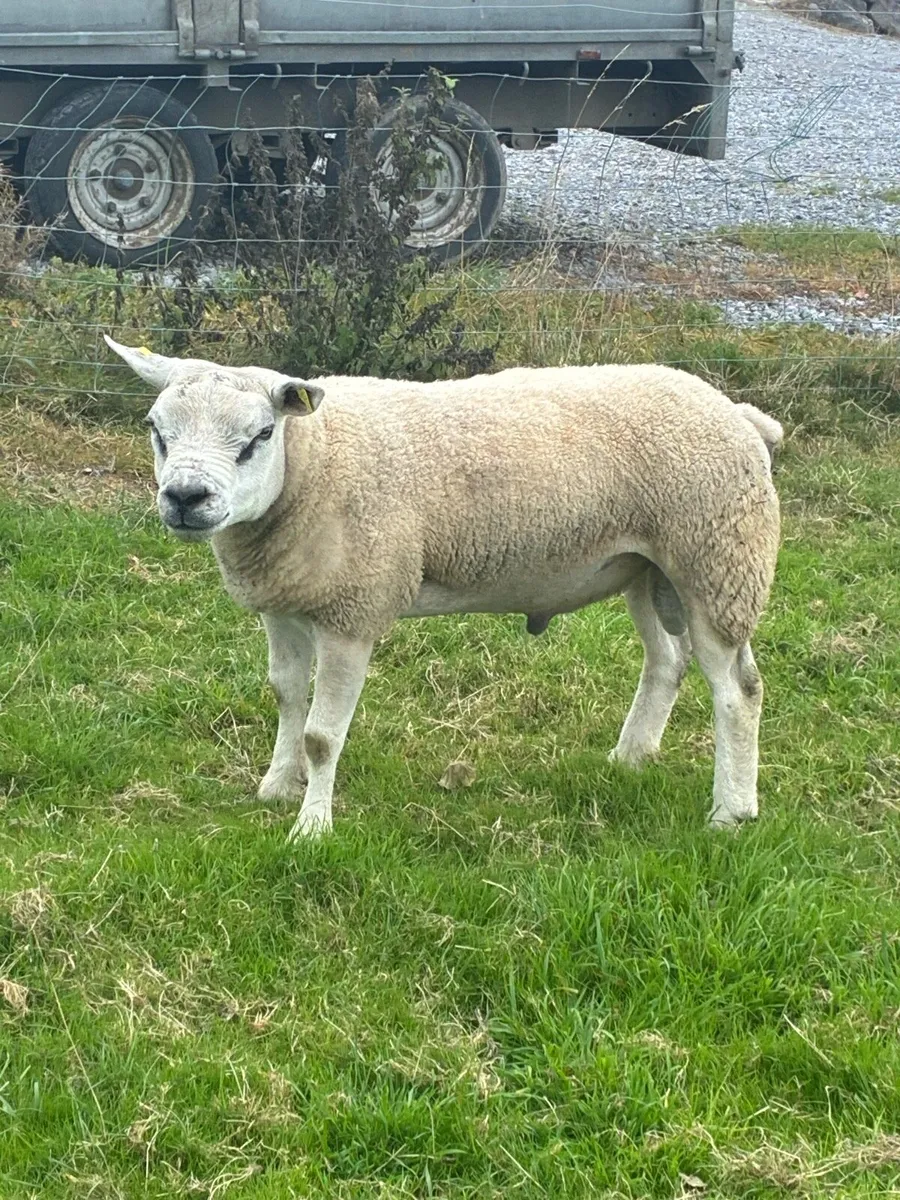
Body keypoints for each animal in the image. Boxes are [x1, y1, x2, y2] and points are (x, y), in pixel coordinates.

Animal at [104, 335, 783, 839]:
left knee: (738, 691)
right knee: (667, 660)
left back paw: (730, 812)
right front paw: (274, 787)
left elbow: (322, 737)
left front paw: (312, 827)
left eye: (261, 436)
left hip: (719, 560)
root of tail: (739, 414)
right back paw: (630, 759)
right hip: (646, 568)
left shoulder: (356, 608)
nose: (186, 497)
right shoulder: (284, 602)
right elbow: (287, 699)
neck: (315, 462)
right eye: (155, 428)